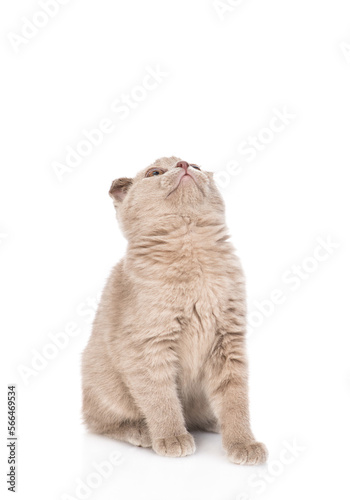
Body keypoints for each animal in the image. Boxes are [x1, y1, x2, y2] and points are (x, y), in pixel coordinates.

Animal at [81, 156, 268, 464]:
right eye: (154, 172)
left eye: (197, 166)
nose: (183, 164)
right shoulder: (147, 347)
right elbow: (161, 399)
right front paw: (171, 437)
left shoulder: (229, 342)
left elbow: (235, 399)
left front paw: (243, 442)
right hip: (104, 384)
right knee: (98, 422)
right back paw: (142, 432)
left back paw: (211, 421)